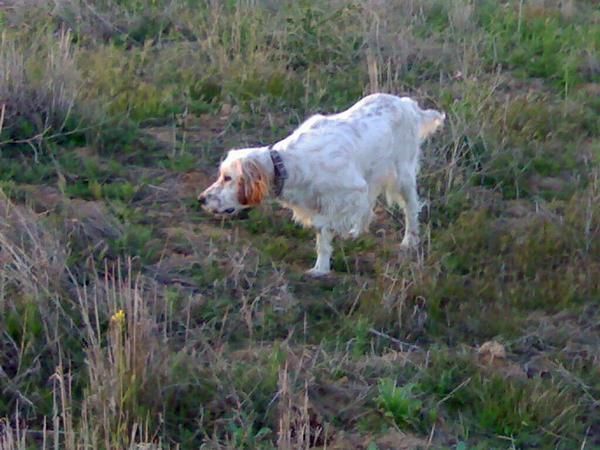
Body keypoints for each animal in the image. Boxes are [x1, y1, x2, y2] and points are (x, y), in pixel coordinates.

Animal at [199, 94, 442, 274]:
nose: (201, 199)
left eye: (228, 178)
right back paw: (357, 233)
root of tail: (406, 103)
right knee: (369, 207)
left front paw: (321, 268)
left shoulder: (346, 194)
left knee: (410, 209)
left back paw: (410, 240)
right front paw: (322, 265)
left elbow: (324, 228)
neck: (289, 165)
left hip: (402, 175)